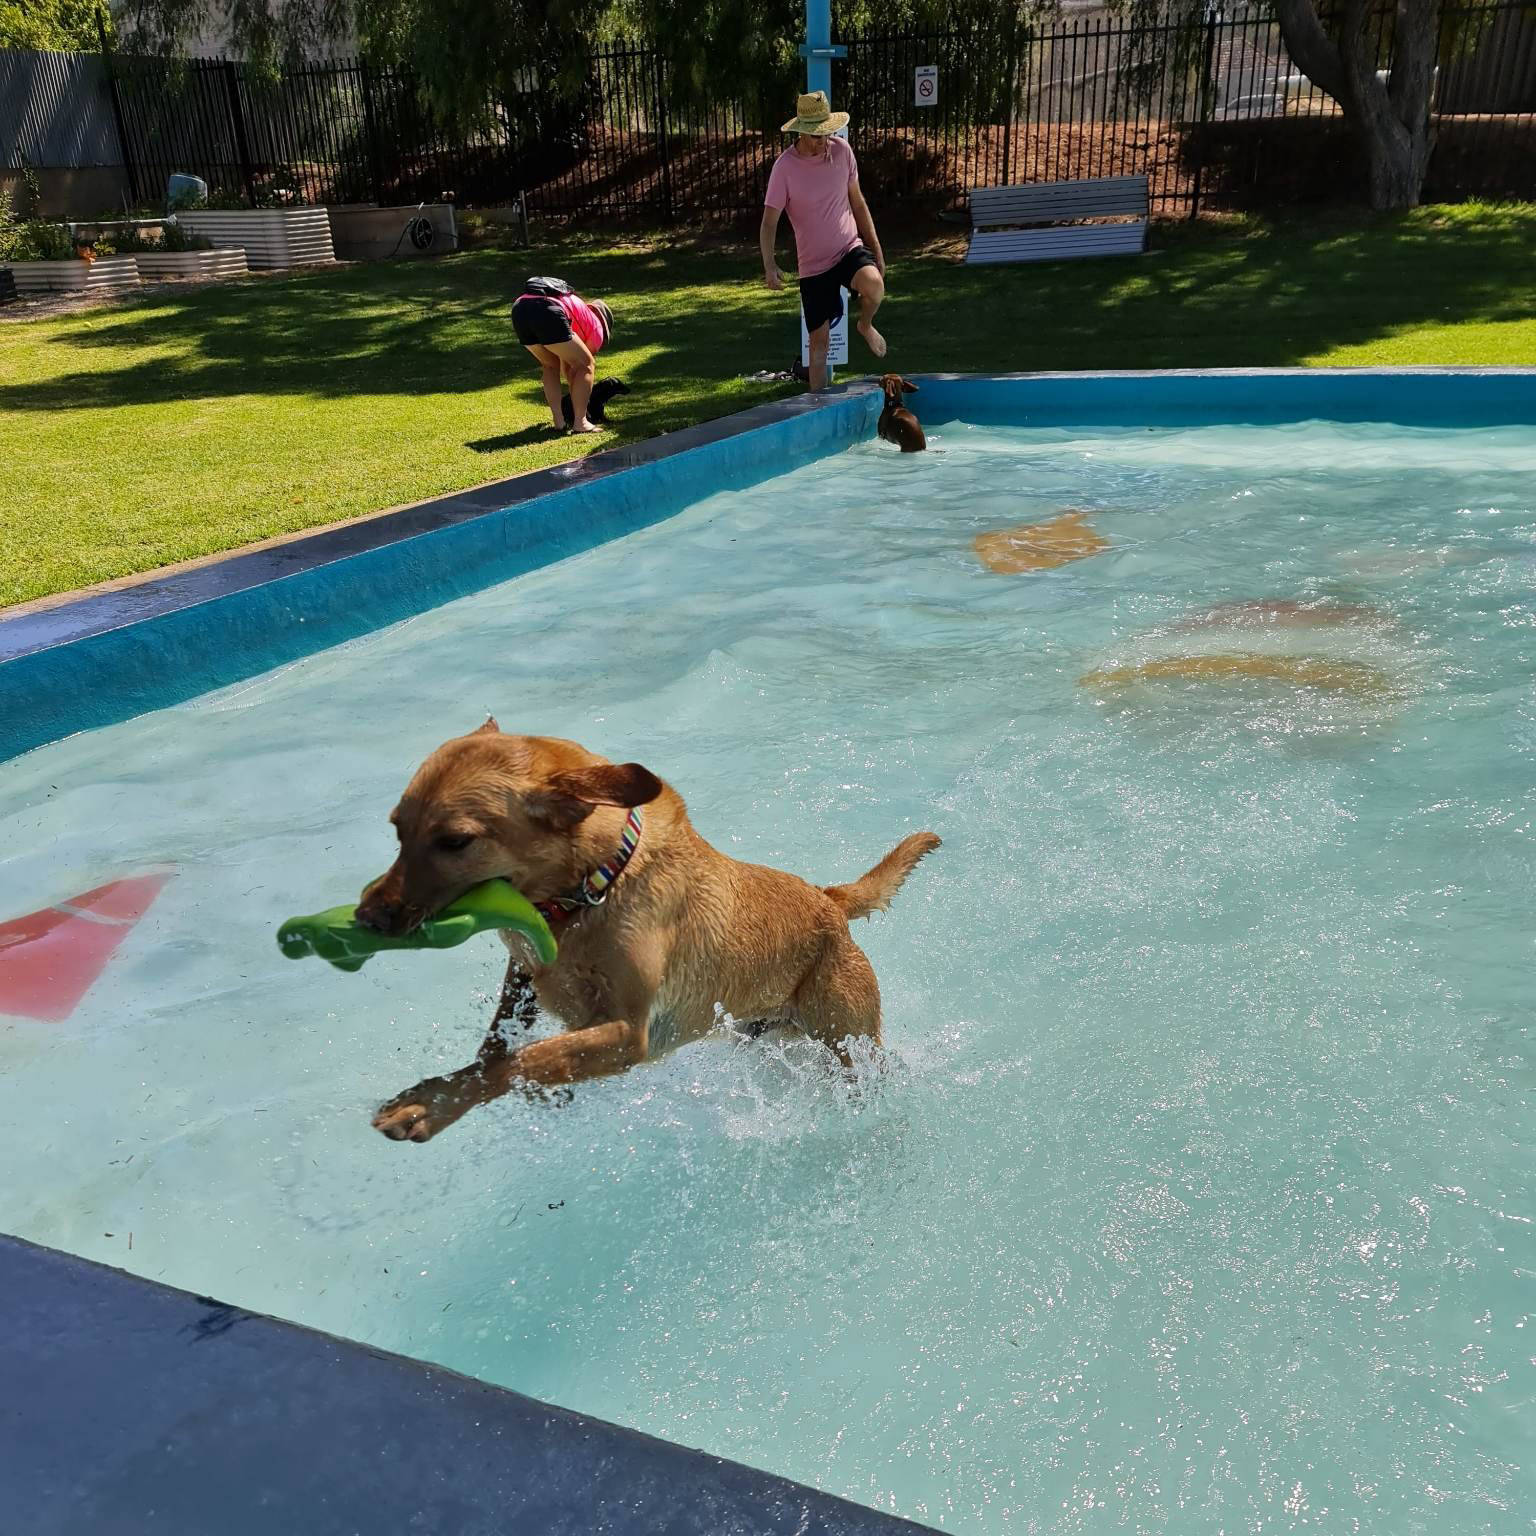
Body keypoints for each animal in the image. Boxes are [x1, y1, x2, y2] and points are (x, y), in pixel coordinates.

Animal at [356, 724, 933, 1148]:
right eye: (397, 828)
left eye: (455, 841)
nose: (368, 918)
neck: (594, 887)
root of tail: (828, 899)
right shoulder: (524, 973)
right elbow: (497, 1046)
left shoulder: (628, 1034)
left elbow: (518, 1061)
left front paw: (426, 1105)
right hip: (765, 1033)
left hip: (847, 1037)